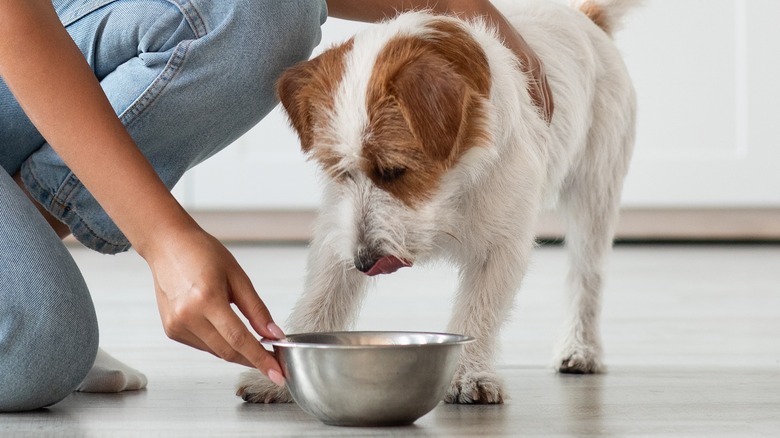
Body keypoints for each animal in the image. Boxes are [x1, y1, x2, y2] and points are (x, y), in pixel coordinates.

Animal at [238, 0, 640, 404]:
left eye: (394, 171)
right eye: (339, 171)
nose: (364, 262)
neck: (452, 184)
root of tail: (586, 18)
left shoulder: (502, 244)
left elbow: (479, 309)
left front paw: (468, 375)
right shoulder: (340, 231)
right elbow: (322, 296)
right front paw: (278, 375)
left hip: (595, 195)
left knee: (586, 276)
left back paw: (580, 349)